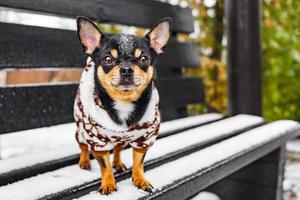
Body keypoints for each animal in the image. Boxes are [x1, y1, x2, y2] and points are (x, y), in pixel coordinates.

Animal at [73, 16, 172, 195]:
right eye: (107, 59)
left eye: (144, 59)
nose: (126, 69)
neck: (123, 103)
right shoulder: (98, 142)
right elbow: (104, 165)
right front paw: (108, 183)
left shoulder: (143, 139)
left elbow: (139, 162)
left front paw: (140, 180)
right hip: (82, 129)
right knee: (83, 145)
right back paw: (84, 161)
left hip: (122, 139)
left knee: (118, 148)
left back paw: (118, 163)